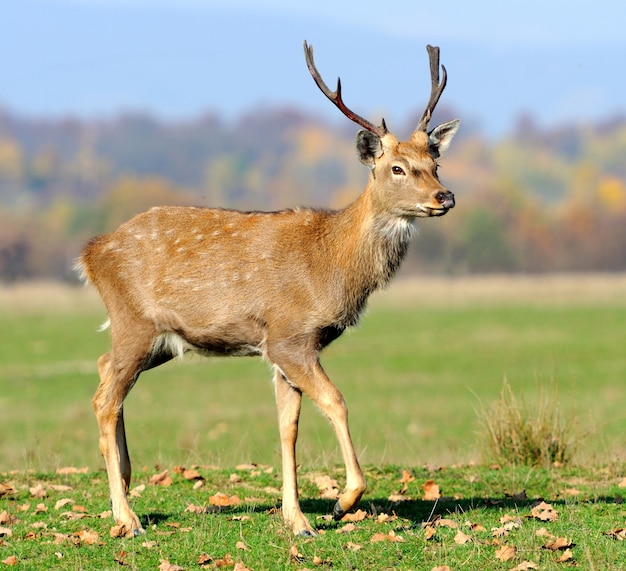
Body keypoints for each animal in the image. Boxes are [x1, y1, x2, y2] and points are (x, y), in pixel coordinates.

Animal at [77, 41, 458, 540]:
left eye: (435, 164)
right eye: (397, 168)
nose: (445, 196)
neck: (330, 265)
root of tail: (90, 254)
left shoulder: (284, 350)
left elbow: (287, 428)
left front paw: (297, 519)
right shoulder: (288, 337)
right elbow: (336, 402)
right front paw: (341, 502)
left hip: (160, 339)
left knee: (104, 370)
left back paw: (123, 481)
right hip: (134, 321)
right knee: (105, 398)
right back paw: (127, 517)